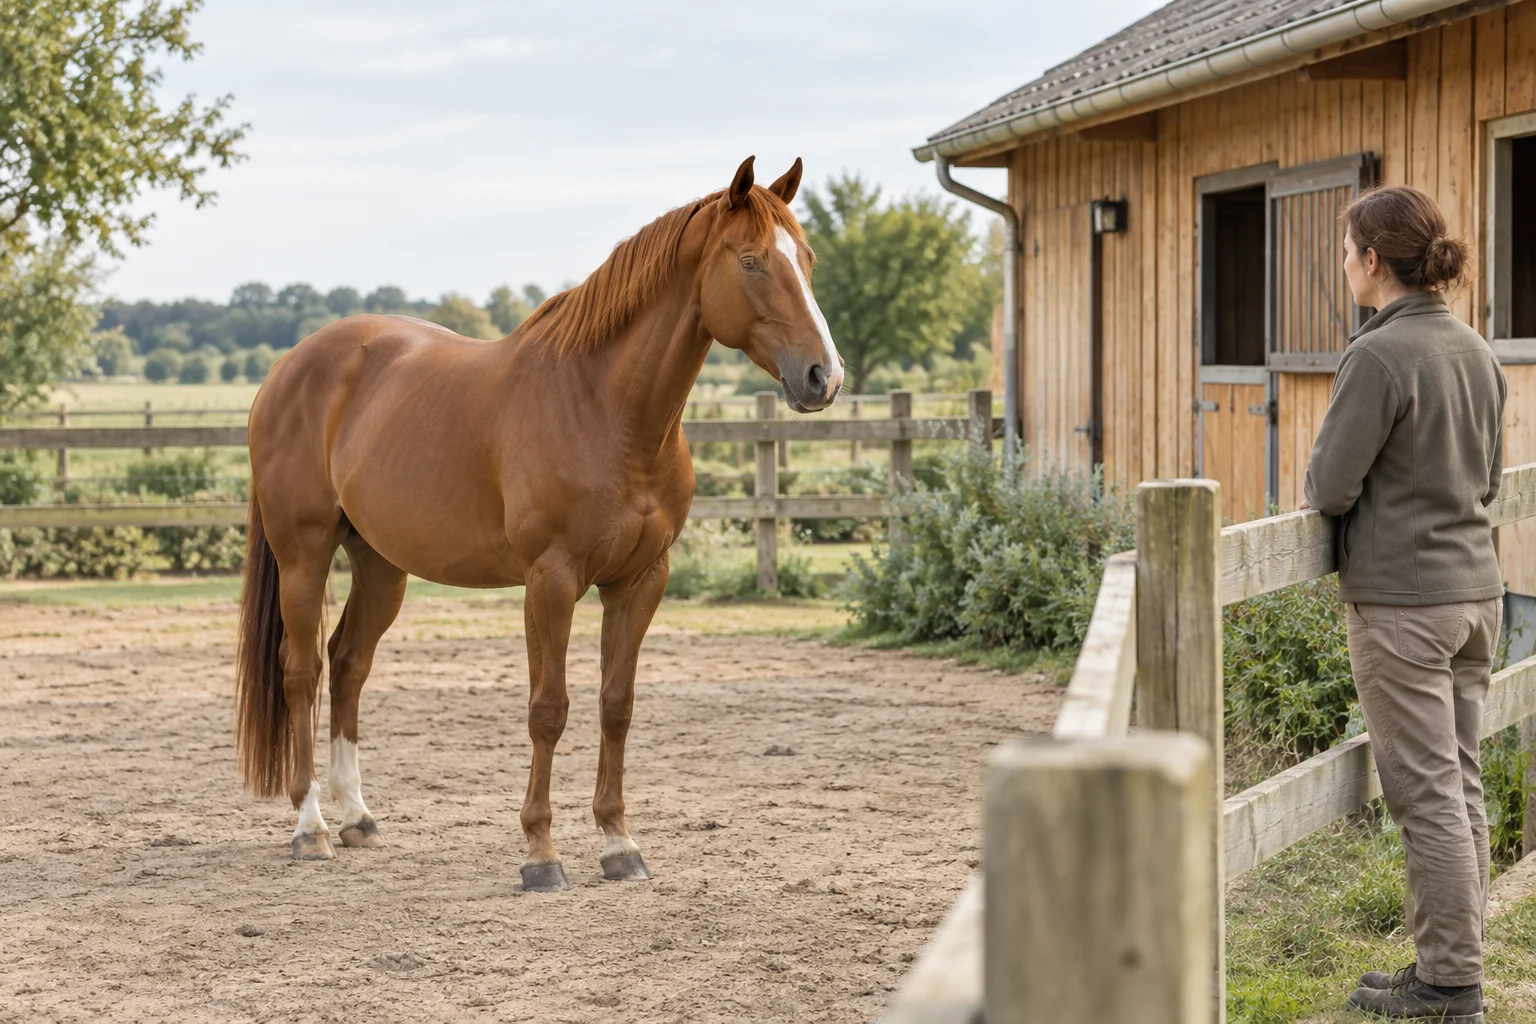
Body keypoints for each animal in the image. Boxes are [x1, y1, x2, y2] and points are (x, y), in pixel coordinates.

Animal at [234, 156, 843, 891]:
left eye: (805, 259)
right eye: (751, 260)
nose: (824, 376)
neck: (606, 409)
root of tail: (289, 368)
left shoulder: (641, 580)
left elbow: (616, 703)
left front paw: (618, 843)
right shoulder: (549, 581)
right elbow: (548, 710)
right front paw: (541, 854)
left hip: (381, 564)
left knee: (349, 663)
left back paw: (358, 817)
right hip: (305, 553)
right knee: (302, 673)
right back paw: (311, 826)